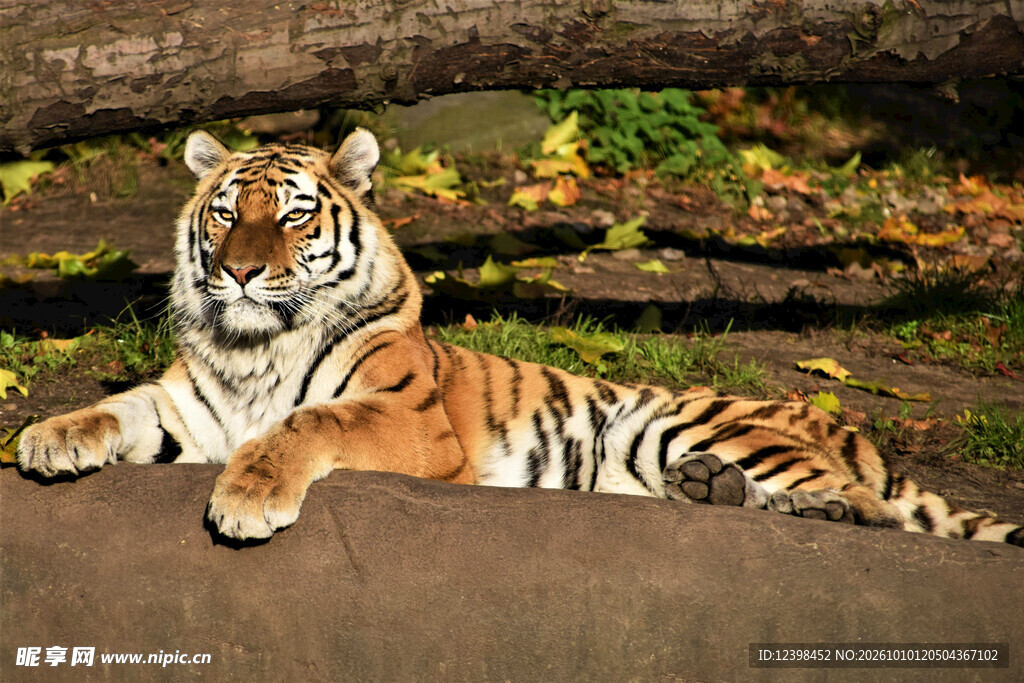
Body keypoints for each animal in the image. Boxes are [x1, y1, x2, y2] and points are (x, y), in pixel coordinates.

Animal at [16, 128, 1024, 547]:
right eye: (227, 213)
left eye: (294, 217)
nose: (238, 273)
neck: (254, 343)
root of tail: (847, 423)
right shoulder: (188, 407)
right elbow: (115, 406)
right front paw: (47, 438)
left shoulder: (409, 419)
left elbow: (309, 424)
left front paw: (249, 496)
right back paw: (711, 494)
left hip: (687, 420)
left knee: (876, 509)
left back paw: (808, 508)